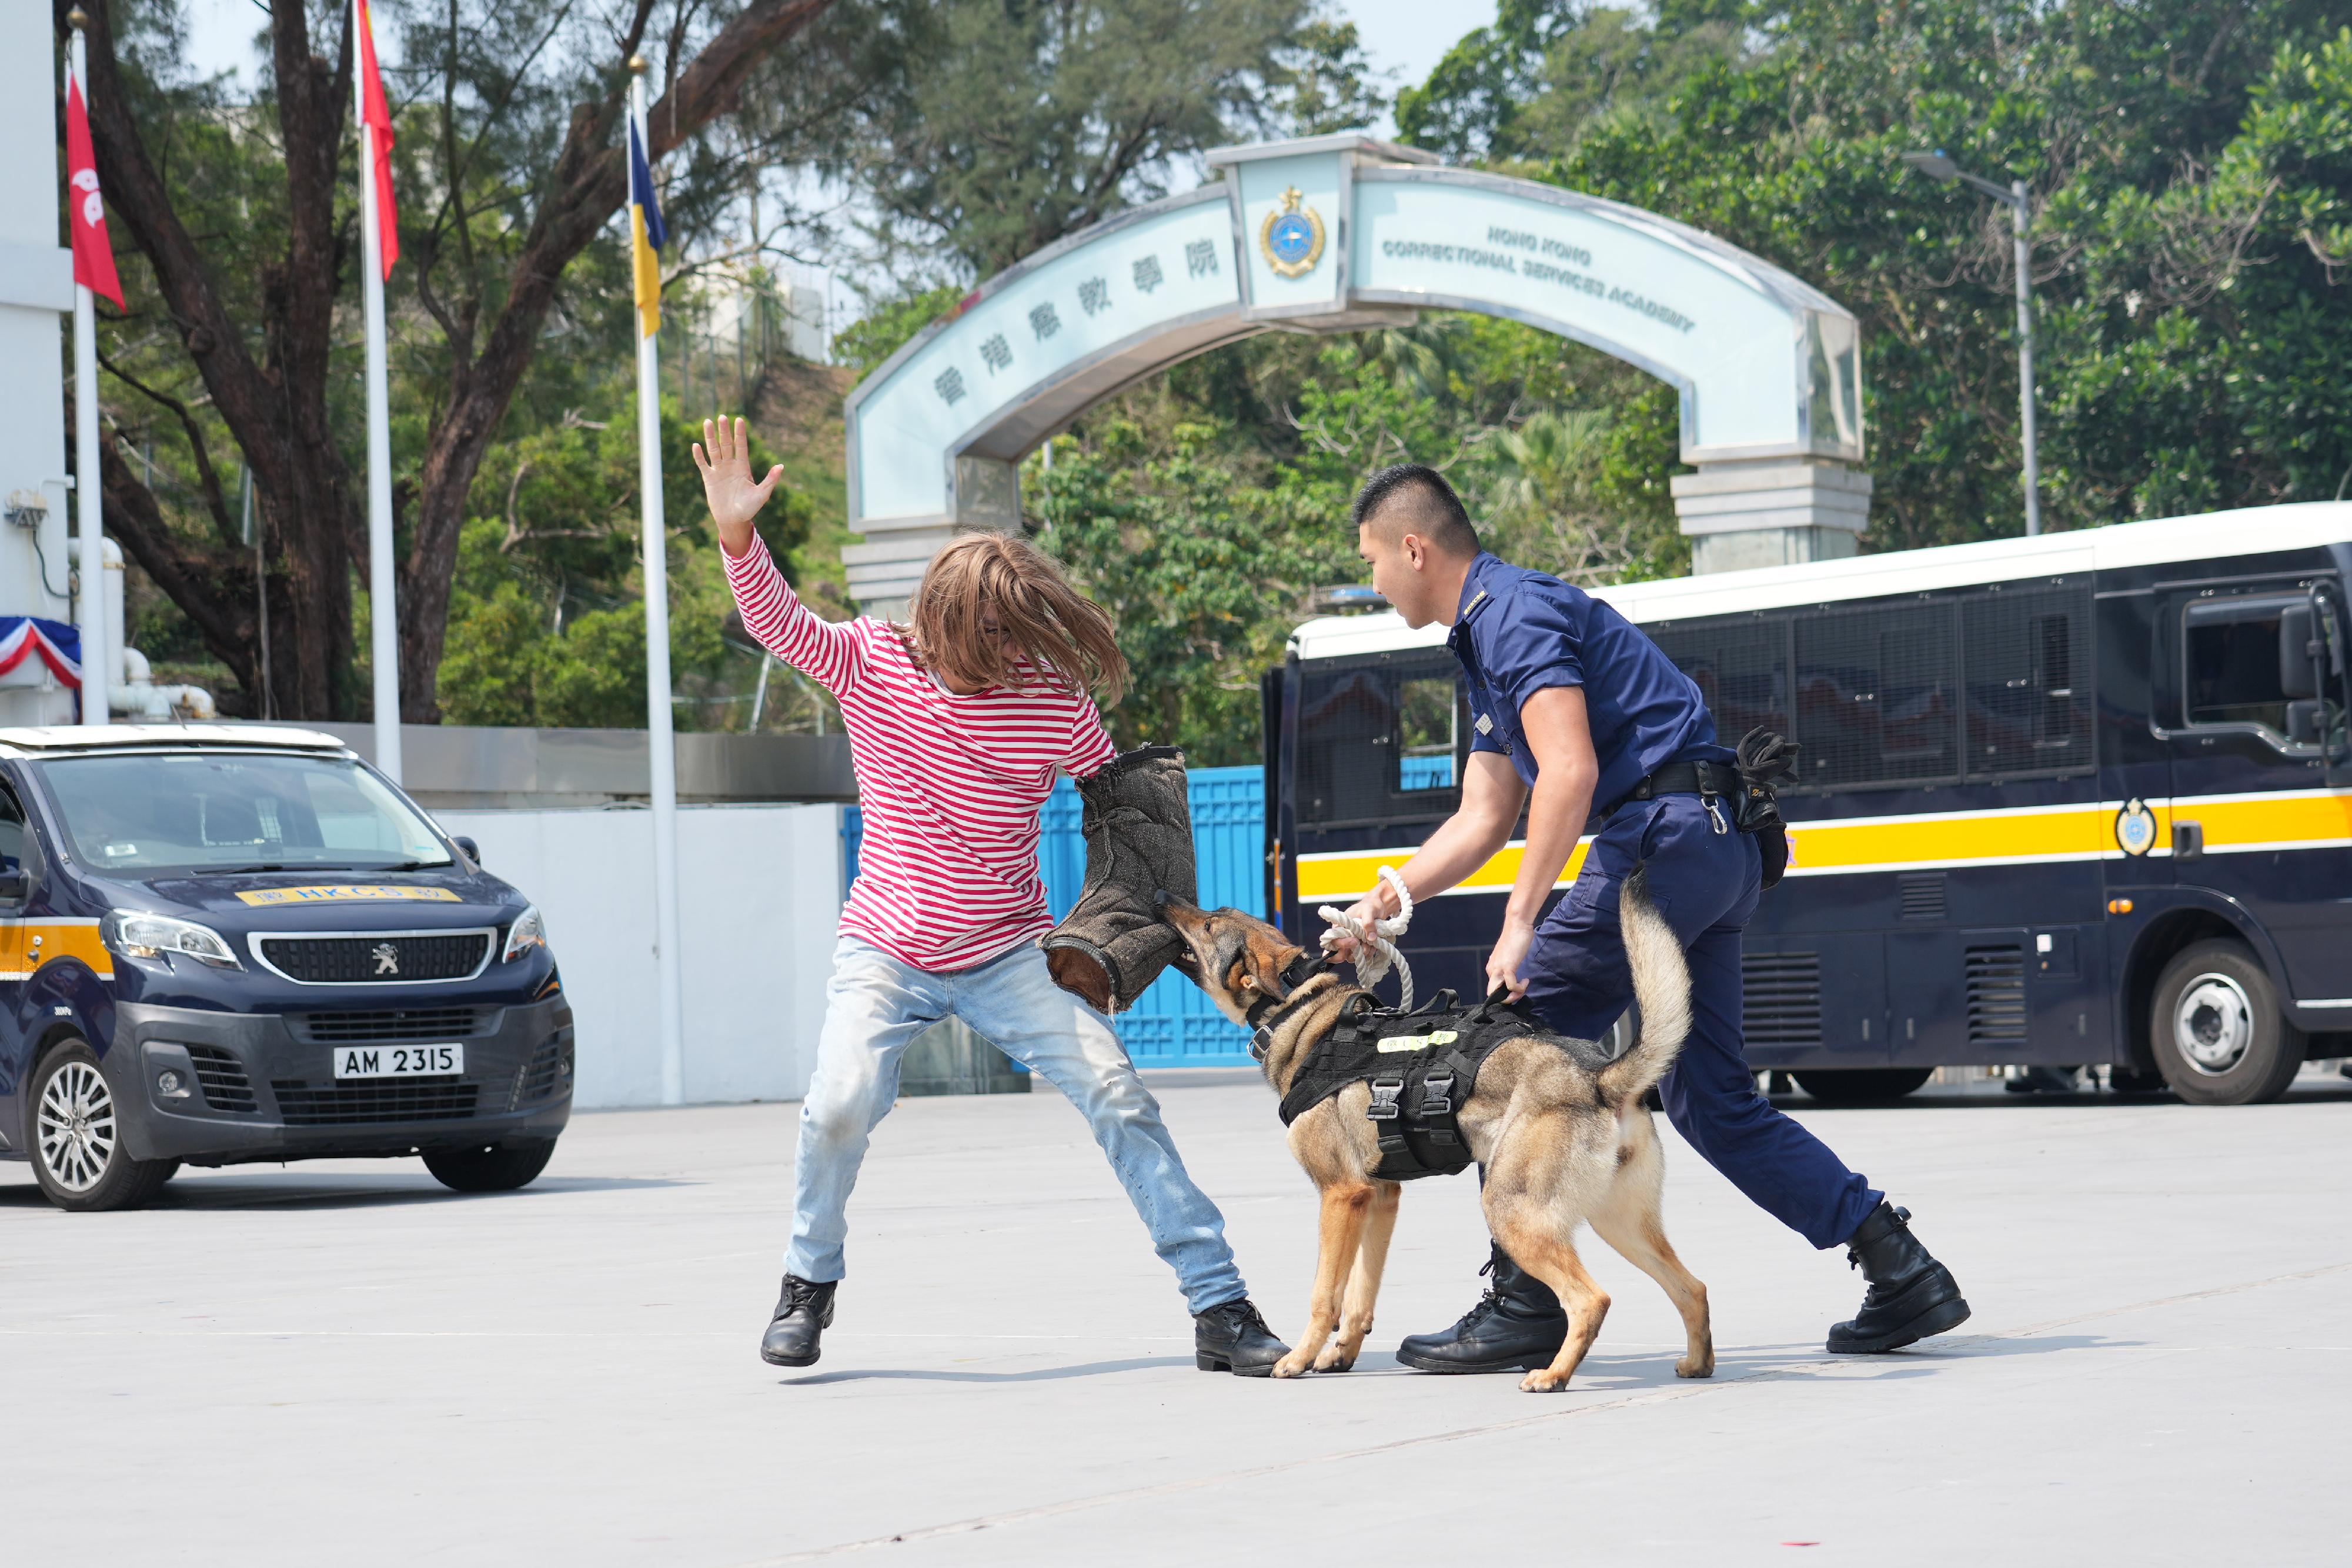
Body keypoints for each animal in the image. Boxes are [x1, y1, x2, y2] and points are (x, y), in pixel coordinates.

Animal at [1152, 870, 1712, 1401]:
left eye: (1209, 924)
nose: (1160, 895)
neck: (1295, 1008)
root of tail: (1598, 1076)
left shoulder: (1340, 1195)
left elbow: (1325, 1295)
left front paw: (1299, 1359)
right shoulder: (1379, 1197)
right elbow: (1359, 1295)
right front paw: (1340, 1354)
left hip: (1513, 1210)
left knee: (1592, 1299)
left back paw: (1553, 1375)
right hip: (1618, 1223)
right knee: (1693, 1287)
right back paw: (1697, 1364)